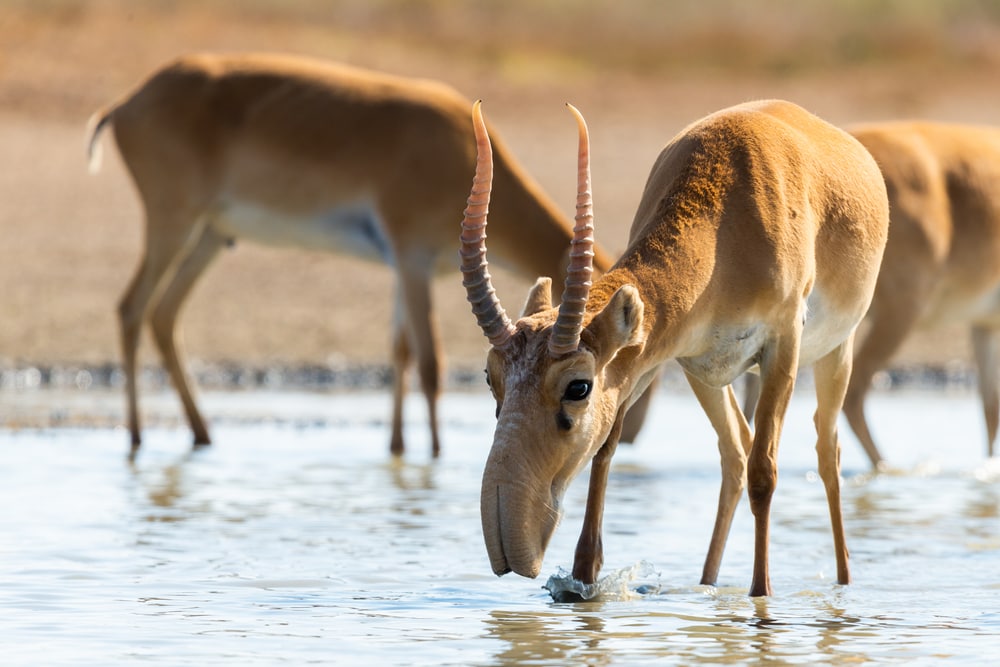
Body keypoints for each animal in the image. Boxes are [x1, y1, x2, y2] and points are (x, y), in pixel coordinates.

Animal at [85, 52, 619, 459]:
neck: (462, 150)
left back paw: (202, 434)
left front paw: (398, 448)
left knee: (163, 314)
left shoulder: (405, 268)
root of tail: (125, 103)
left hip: (212, 236)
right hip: (173, 223)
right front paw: (435, 454)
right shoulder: (412, 260)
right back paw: (137, 438)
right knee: (132, 307)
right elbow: (431, 363)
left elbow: (400, 350)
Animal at [461, 99, 889, 597]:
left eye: (577, 386)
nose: (508, 540)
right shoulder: (654, 357)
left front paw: (761, 595)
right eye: (491, 377)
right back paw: (706, 584)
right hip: (709, 375)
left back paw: (842, 582)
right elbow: (606, 451)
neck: (726, 224)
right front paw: (582, 582)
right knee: (734, 453)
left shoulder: (783, 343)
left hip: (834, 353)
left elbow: (766, 472)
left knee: (825, 452)